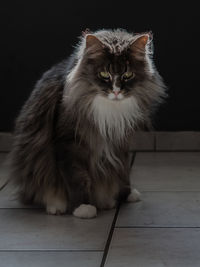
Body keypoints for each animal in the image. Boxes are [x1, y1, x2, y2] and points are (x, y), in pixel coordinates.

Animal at [9, 29, 166, 219]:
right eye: (104, 75)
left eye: (127, 76)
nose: (116, 91)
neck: (110, 108)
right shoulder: (69, 142)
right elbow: (77, 177)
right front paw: (83, 207)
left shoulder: (121, 141)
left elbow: (122, 170)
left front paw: (127, 194)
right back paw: (57, 206)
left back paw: (108, 202)